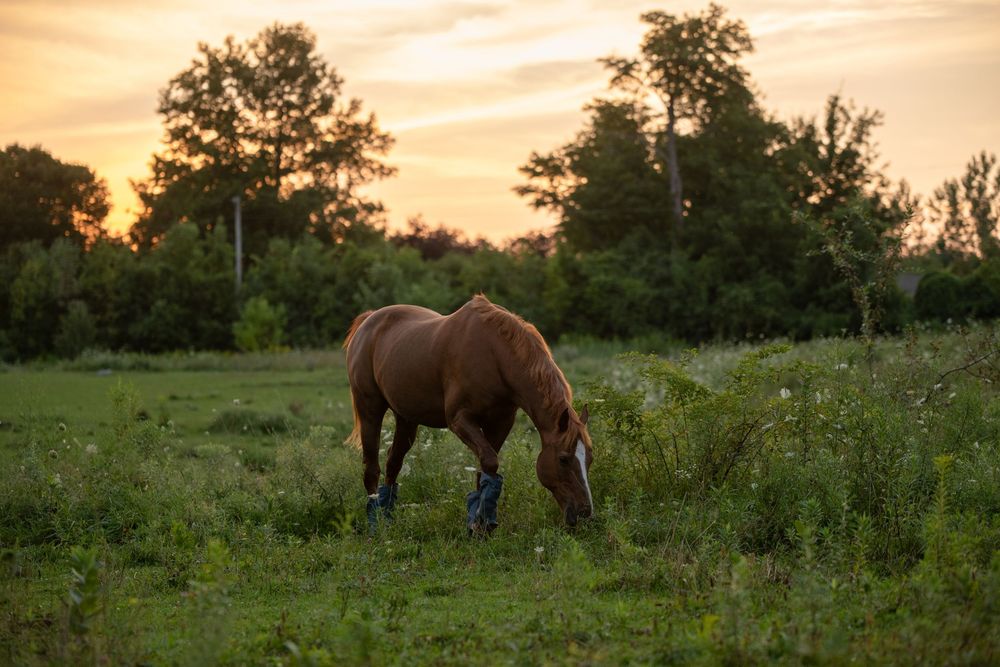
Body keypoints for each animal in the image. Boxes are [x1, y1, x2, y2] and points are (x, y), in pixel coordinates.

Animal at [342, 294, 593, 533]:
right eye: (563, 459)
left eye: (589, 458)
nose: (585, 513)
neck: (495, 356)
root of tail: (368, 319)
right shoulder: (459, 420)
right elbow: (490, 462)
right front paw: (481, 522)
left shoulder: (500, 423)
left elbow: (484, 470)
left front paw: (479, 524)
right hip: (370, 409)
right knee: (371, 468)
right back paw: (376, 526)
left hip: (406, 418)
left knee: (393, 462)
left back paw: (388, 520)